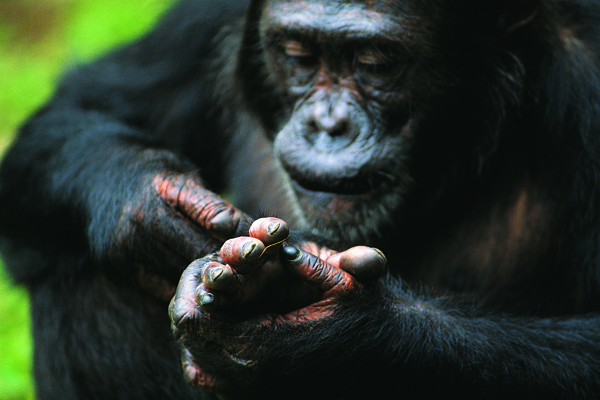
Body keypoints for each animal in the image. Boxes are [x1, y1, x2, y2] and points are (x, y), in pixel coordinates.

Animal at [1, 0, 600, 398]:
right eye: (298, 55)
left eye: (376, 63)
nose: (327, 124)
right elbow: (85, 102)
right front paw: (151, 214)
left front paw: (340, 338)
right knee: (86, 278)